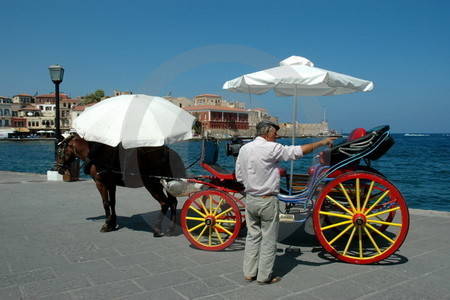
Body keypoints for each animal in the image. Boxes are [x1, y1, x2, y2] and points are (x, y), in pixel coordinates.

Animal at [56, 134, 186, 237]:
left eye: (59, 152)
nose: (58, 168)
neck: (94, 154)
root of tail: (169, 153)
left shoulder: (100, 183)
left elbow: (105, 203)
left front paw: (106, 224)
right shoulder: (111, 184)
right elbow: (112, 202)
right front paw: (113, 223)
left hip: (152, 184)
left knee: (165, 203)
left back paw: (157, 229)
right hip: (168, 182)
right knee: (173, 203)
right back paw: (170, 230)